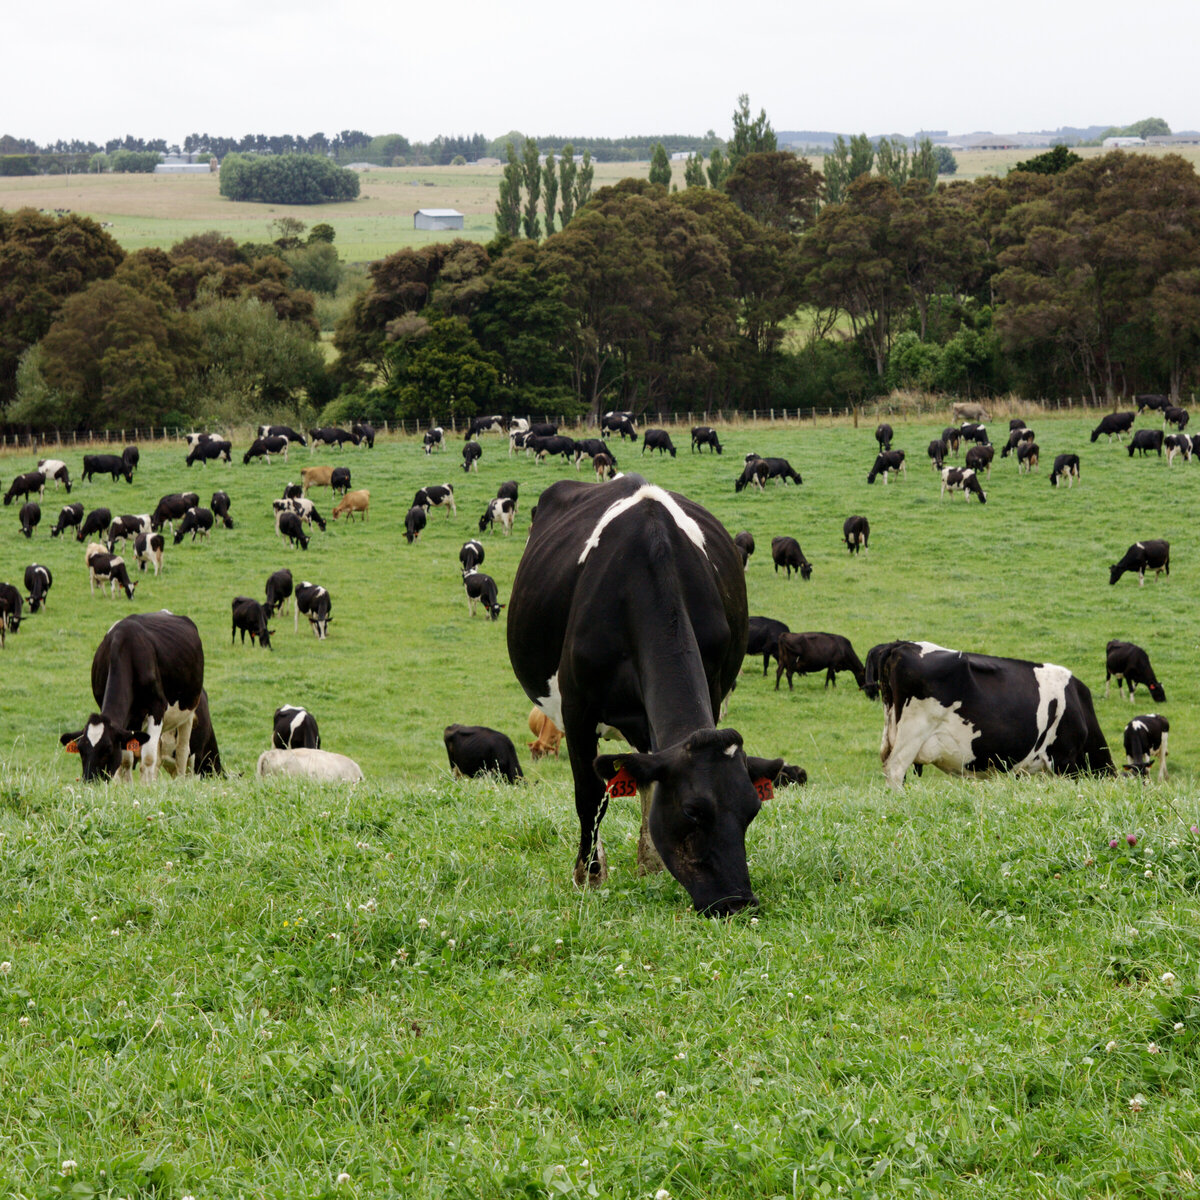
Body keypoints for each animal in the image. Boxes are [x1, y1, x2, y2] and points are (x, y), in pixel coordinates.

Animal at [60, 609, 206, 787]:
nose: (90, 781)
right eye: (80, 749)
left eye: (108, 749)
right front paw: (128, 787)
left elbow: (148, 758)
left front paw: (146, 787)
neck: (124, 649)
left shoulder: (157, 708)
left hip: (187, 712)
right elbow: (126, 760)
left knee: (182, 752)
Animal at [508, 472, 782, 912]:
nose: (737, 901)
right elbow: (590, 794)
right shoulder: (577, 711)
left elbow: (648, 788)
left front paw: (650, 865)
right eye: (692, 811)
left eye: (751, 811)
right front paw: (588, 875)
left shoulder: (713, 690)